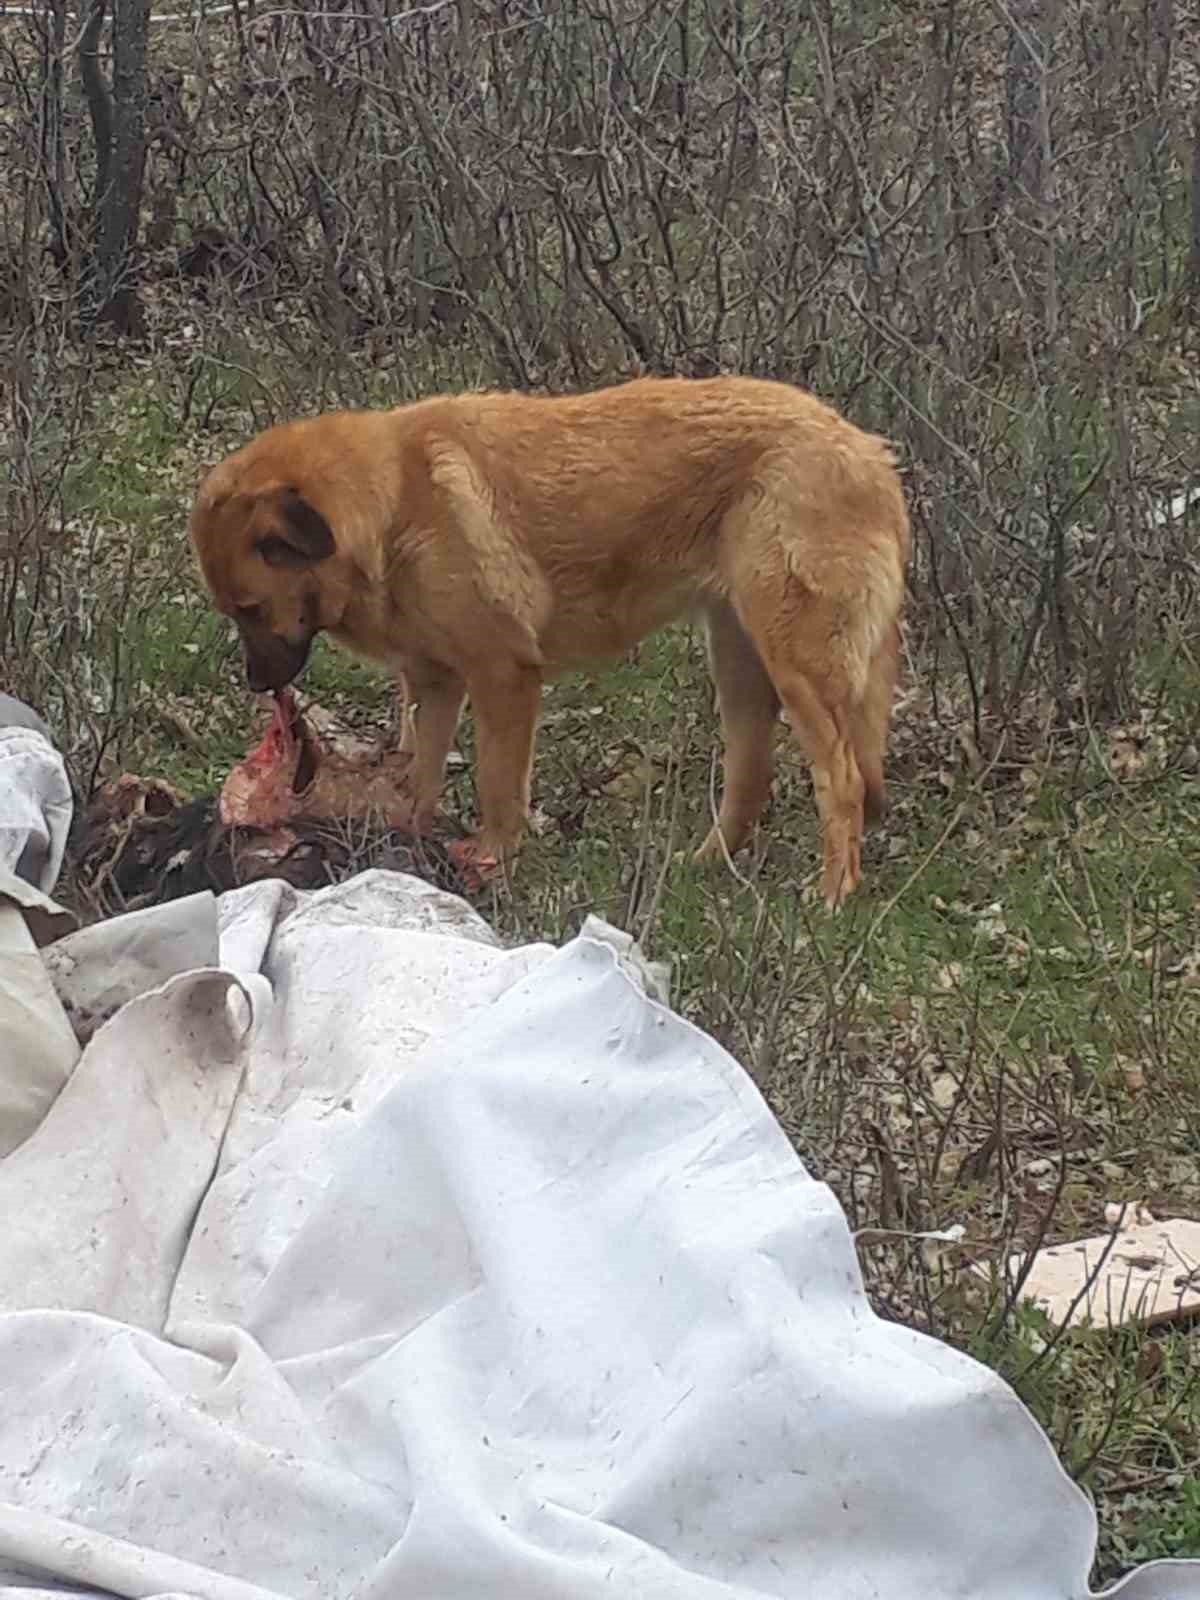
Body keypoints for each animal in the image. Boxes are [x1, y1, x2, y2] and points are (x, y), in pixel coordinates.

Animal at [188, 371, 908, 902]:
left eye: (250, 608)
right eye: (232, 611)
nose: (257, 682)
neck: (392, 506)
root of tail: (872, 453)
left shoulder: (502, 677)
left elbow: (497, 790)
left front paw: (494, 865)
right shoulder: (434, 684)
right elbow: (419, 781)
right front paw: (404, 859)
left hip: (796, 665)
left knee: (842, 782)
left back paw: (830, 897)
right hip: (739, 664)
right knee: (751, 779)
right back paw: (705, 866)